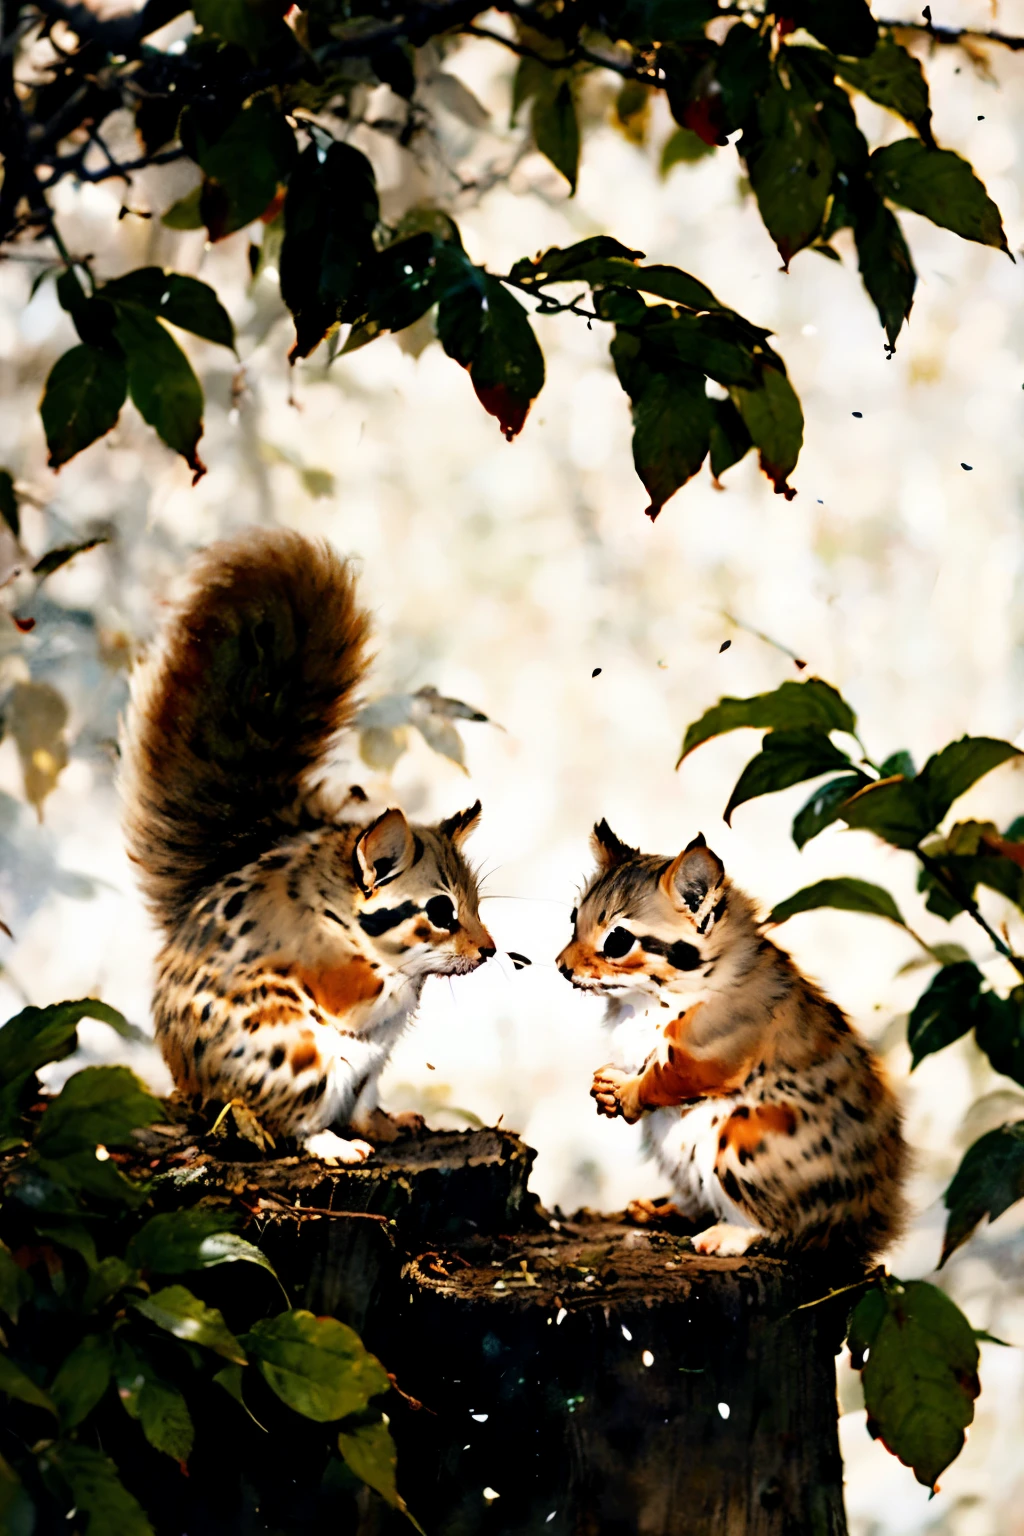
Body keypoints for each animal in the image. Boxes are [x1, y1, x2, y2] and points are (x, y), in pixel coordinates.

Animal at [120, 528, 497, 1161]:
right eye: (440, 911)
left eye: (475, 903)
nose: (489, 951)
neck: (341, 917)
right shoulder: (332, 973)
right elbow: (365, 989)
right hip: (296, 1055)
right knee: (284, 1124)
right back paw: (333, 1145)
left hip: (365, 1071)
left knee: (360, 1104)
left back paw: (386, 1126)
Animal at [561, 823, 902, 1253]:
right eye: (573, 917)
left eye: (617, 941)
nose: (561, 967)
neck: (642, 1000)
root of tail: (863, 1223)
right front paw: (603, 1085)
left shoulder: (712, 1049)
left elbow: (665, 1076)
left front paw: (625, 1091)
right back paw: (660, 1210)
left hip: (743, 1141)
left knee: (777, 1226)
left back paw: (725, 1234)